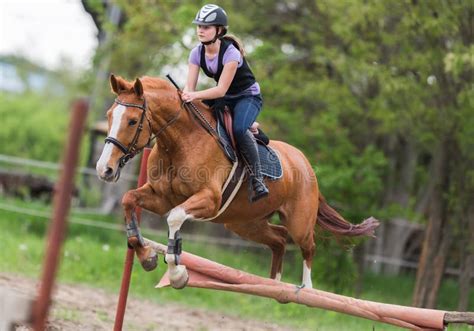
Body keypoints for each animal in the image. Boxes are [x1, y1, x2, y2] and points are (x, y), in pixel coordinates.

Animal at [95, 76, 378, 290]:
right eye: (109, 115)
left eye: (132, 121)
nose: (104, 169)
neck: (180, 142)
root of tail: (305, 163)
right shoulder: (160, 197)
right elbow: (129, 200)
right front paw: (147, 256)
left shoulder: (208, 200)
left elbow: (174, 218)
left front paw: (177, 274)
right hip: (244, 223)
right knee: (278, 239)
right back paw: (274, 285)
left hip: (298, 222)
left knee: (307, 246)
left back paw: (305, 290)